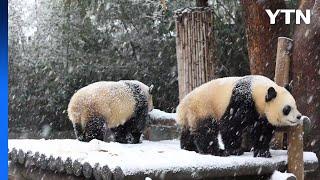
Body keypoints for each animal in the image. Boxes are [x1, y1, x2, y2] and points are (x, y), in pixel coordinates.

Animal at [176, 75, 304, 157]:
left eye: (296, 105)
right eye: (287, 109)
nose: (299, 116)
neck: (257, 90)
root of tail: (182, 106)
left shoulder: (261, 114)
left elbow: (262, 131)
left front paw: (262, 152)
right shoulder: (241, 100)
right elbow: (230, 125)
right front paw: (235, 150)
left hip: (192, 115)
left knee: (189, 132)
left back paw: (189, 147)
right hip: (203, 108)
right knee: (206, 130)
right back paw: (217, 151)